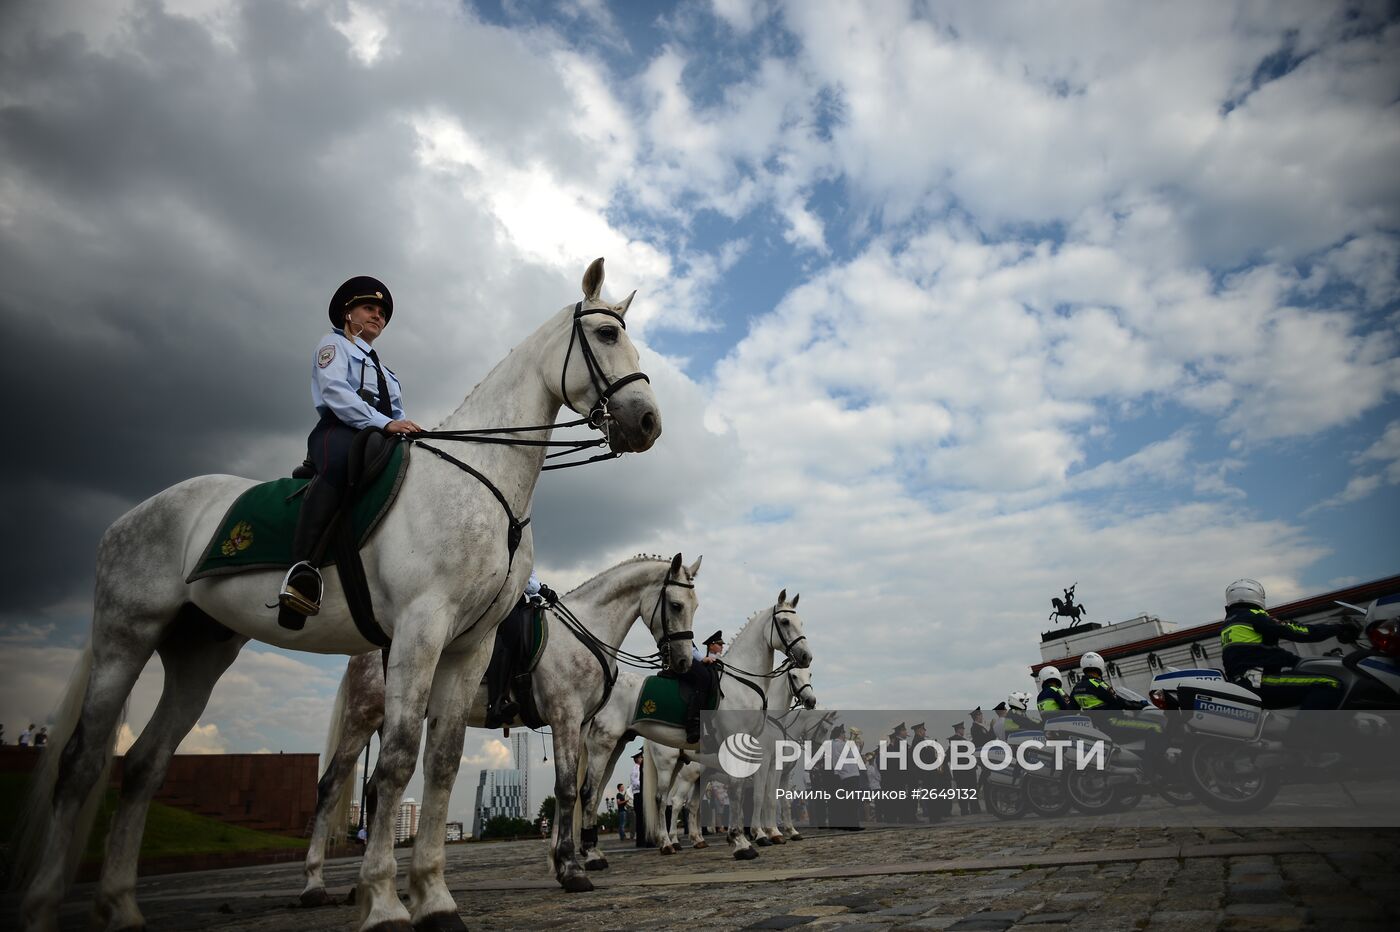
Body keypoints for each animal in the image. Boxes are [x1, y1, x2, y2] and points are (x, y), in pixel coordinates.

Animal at [13, 257, 663, 929]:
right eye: (607, 335)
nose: (648, 423)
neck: (482, 478)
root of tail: (132, 514)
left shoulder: (469, 648)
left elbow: (443, 763)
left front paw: (434, 898)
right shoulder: (428, 634)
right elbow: (402, 764)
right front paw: (386, 900)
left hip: (200, 651)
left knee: (144, 765)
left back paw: (122, 906)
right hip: (129, 635)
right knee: (87, 762)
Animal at [302, 548, 705, 895]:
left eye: (696, 606)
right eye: (675, 605)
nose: (684, 663)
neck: (584, 633)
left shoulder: (579, 725)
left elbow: (572, 791)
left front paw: (563, 862)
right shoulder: (565, 717)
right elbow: (567, 790)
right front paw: (572, 868)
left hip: (393, 717)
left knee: (373, 789)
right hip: (363, 716)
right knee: (331, 785)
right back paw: (315, 884)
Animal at [638, 587, 812, 856]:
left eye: (801, 622)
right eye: (784, 621)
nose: (806, 656)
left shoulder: (770, 764)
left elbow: (762, 796)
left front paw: (761, 835)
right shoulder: (760, 761)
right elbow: (755, 796)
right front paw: (755, 836)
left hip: (690, 771)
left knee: (688, 805)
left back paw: (694, 840)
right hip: (670, 767)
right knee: (667, 800)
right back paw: (668, 842)